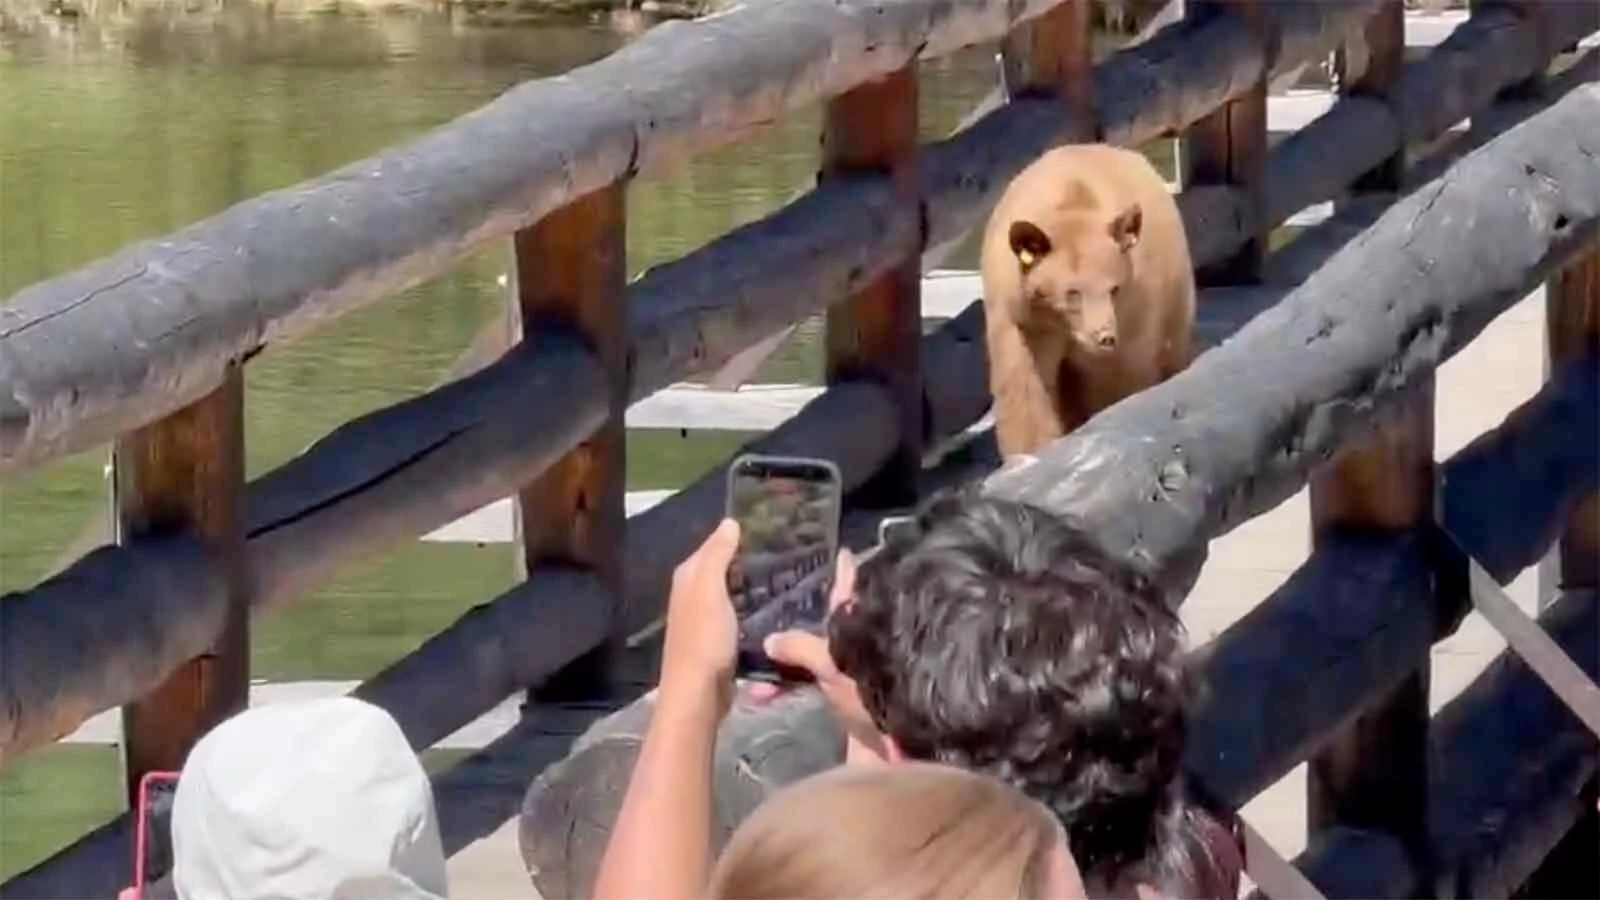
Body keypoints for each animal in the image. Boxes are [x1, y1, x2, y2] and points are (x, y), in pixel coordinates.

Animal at [979, 143, 1196, 459]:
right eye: (1072, 292)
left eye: (1114, 288)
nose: (1105, 336)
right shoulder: (1019, 317)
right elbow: (1026, 390)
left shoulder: (1133, 314)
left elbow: (1118, 382)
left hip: (1173, 296)